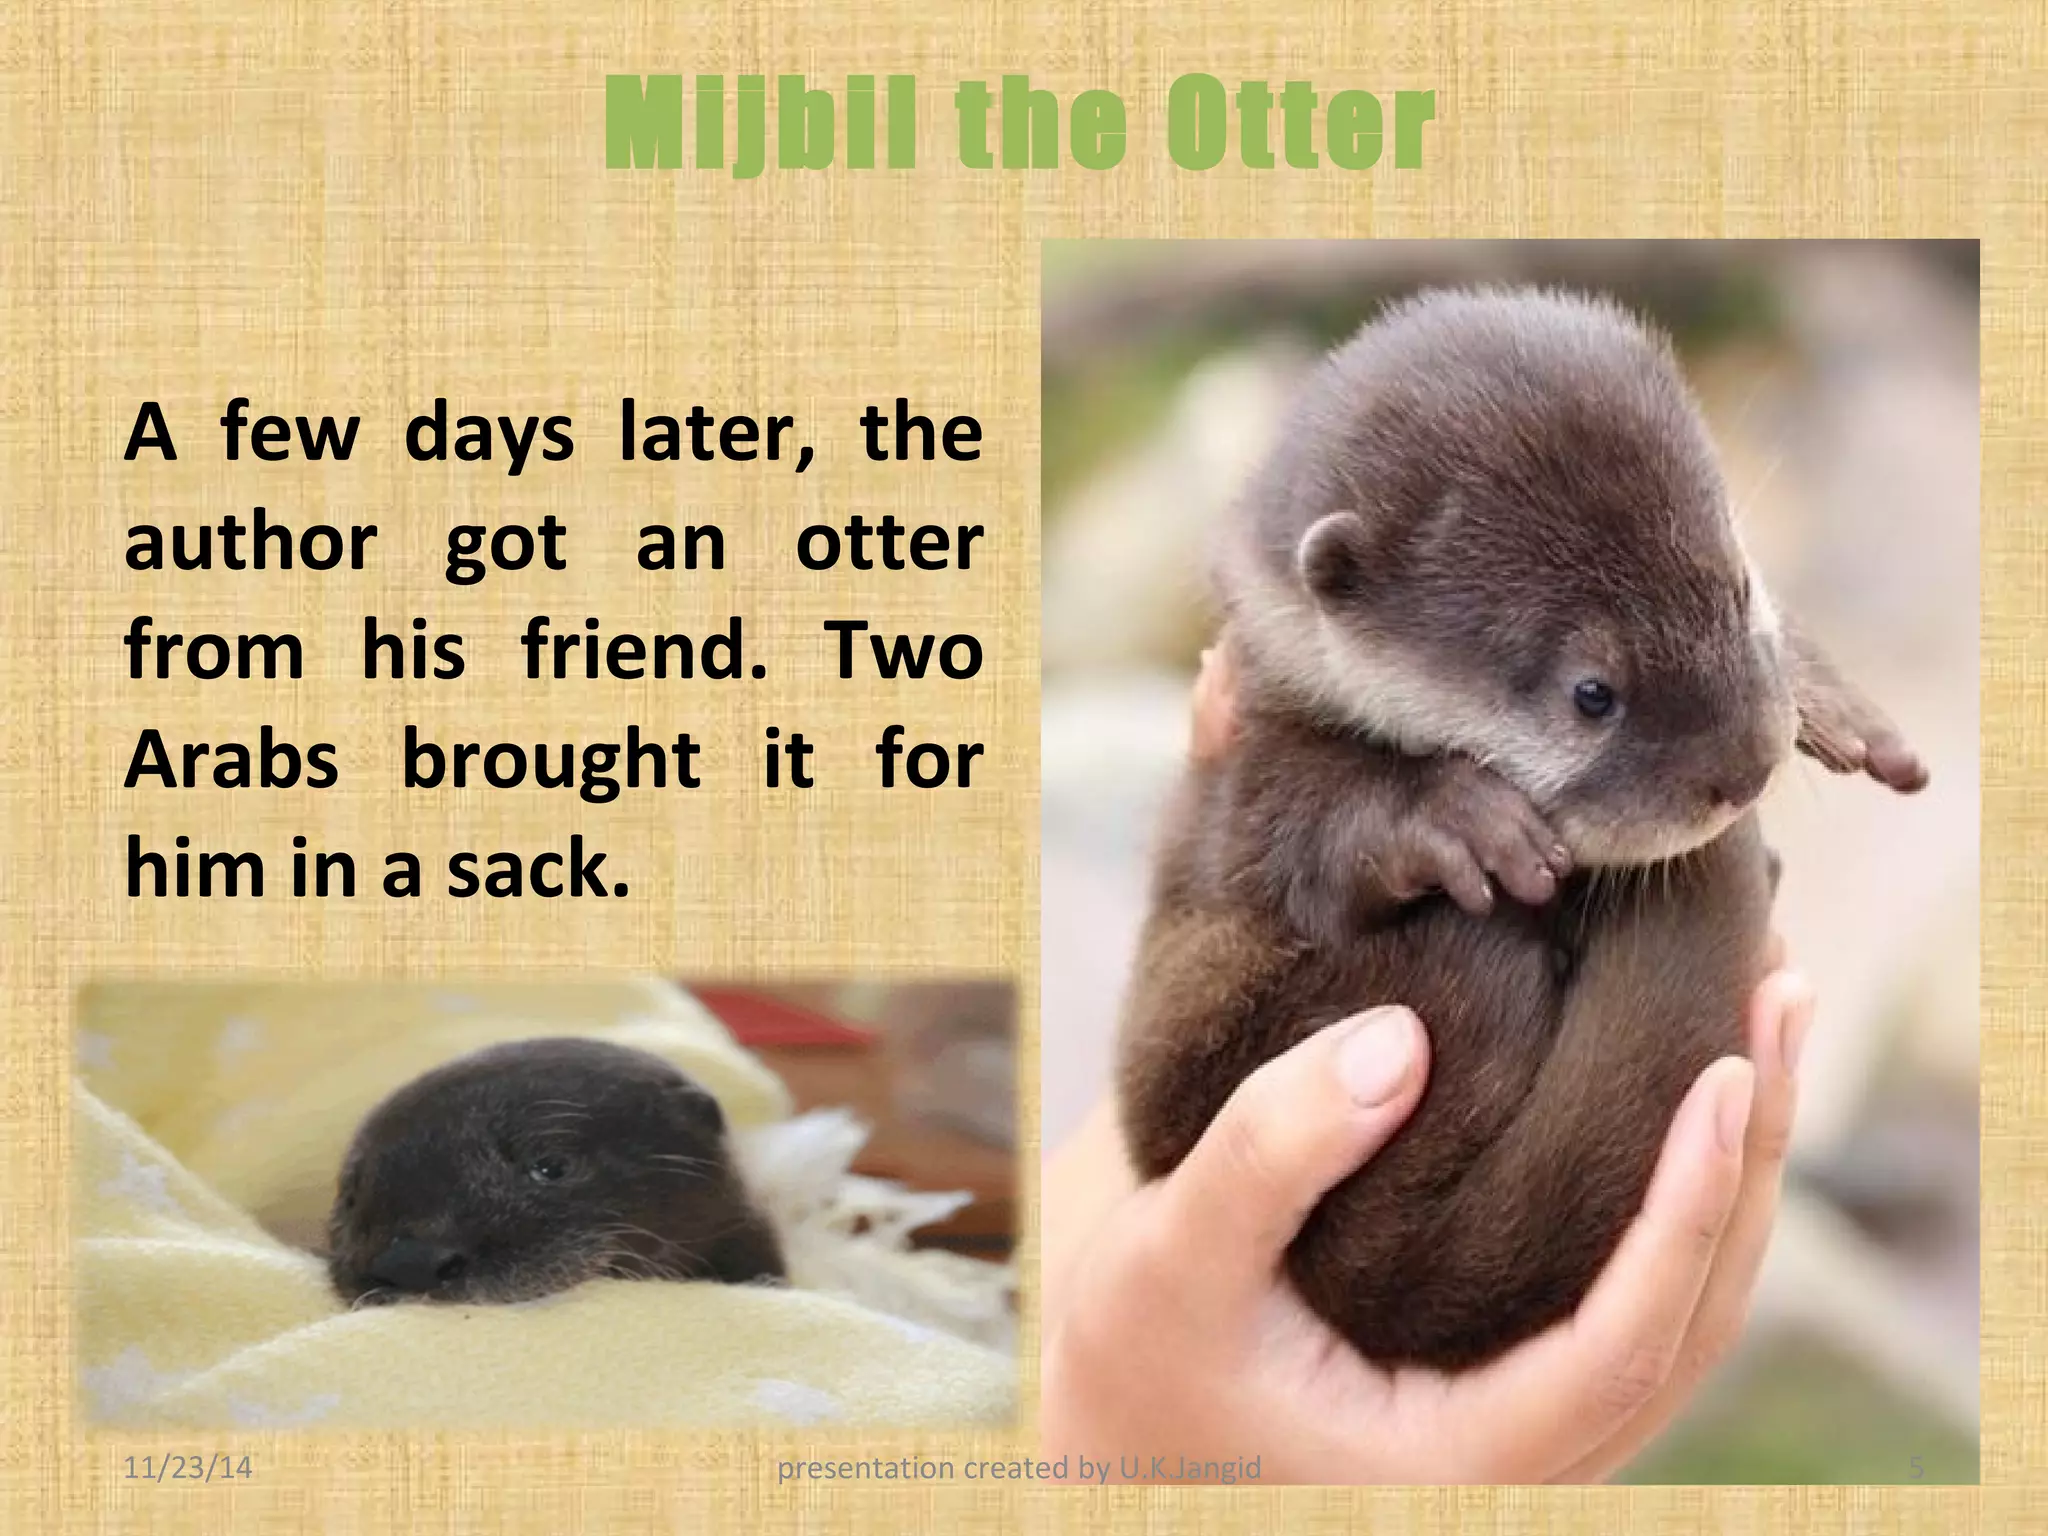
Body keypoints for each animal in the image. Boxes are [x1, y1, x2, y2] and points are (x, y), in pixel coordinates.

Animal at [1115, 287, 1927, 1371]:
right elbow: (1299, 826)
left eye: (1740, 587)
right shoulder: (1247, 758)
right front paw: (1457, 816)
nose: (1744, 768)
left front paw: (1829, 694)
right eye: (1591, 694)